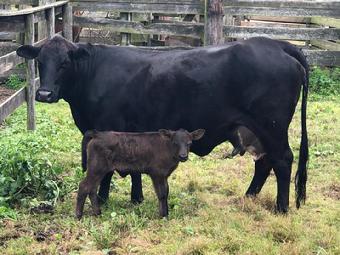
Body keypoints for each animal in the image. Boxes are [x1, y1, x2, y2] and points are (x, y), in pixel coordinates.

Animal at [76, 128, 205, 218]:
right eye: (175, 143)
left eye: (189, 143)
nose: (183, 156)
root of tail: (98, 134)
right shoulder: (157, 173)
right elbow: (162, 194)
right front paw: (163, 215)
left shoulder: (164, 175)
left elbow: (166, 192)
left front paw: (166, 213)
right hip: (96, 168)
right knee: (84, 186)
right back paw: (78, 215)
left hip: (98, 170)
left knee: (92, 189)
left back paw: (97, 213)